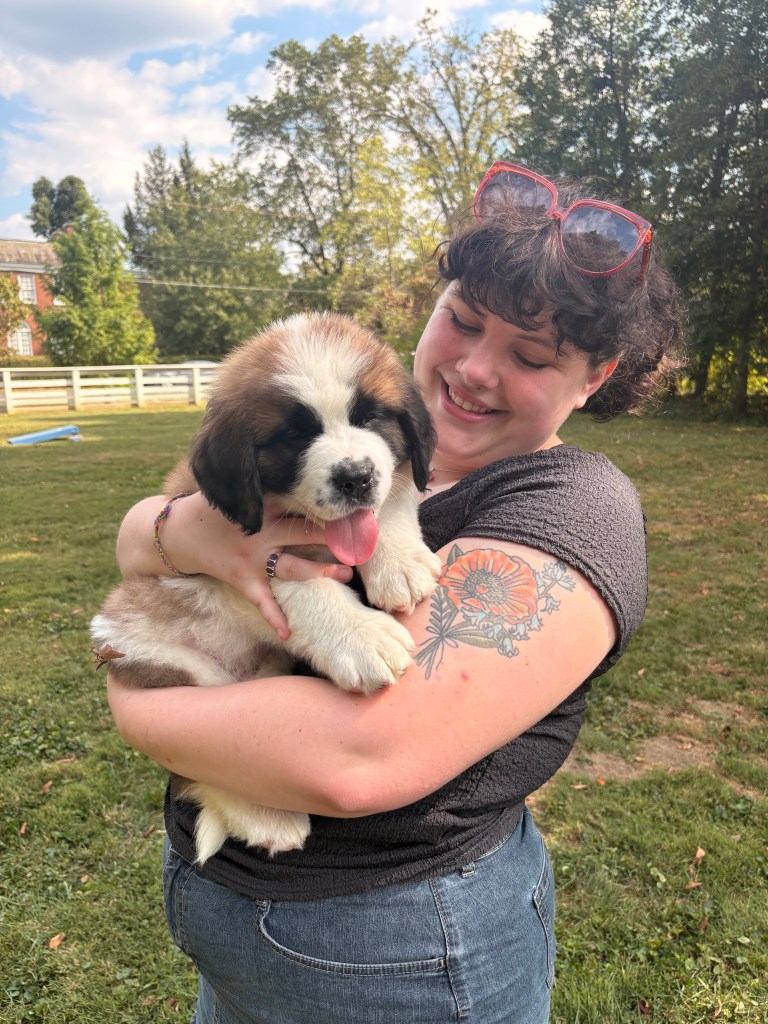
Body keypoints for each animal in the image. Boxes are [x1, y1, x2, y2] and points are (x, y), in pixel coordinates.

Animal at [91, 312, 441, 864]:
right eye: (294, 436)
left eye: (372, 418)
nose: (355, 477)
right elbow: (298, 582)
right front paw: (361, 637)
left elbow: (395, 494)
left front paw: (399, 560)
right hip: (164, 661)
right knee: (202, 769)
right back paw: (266, 818)